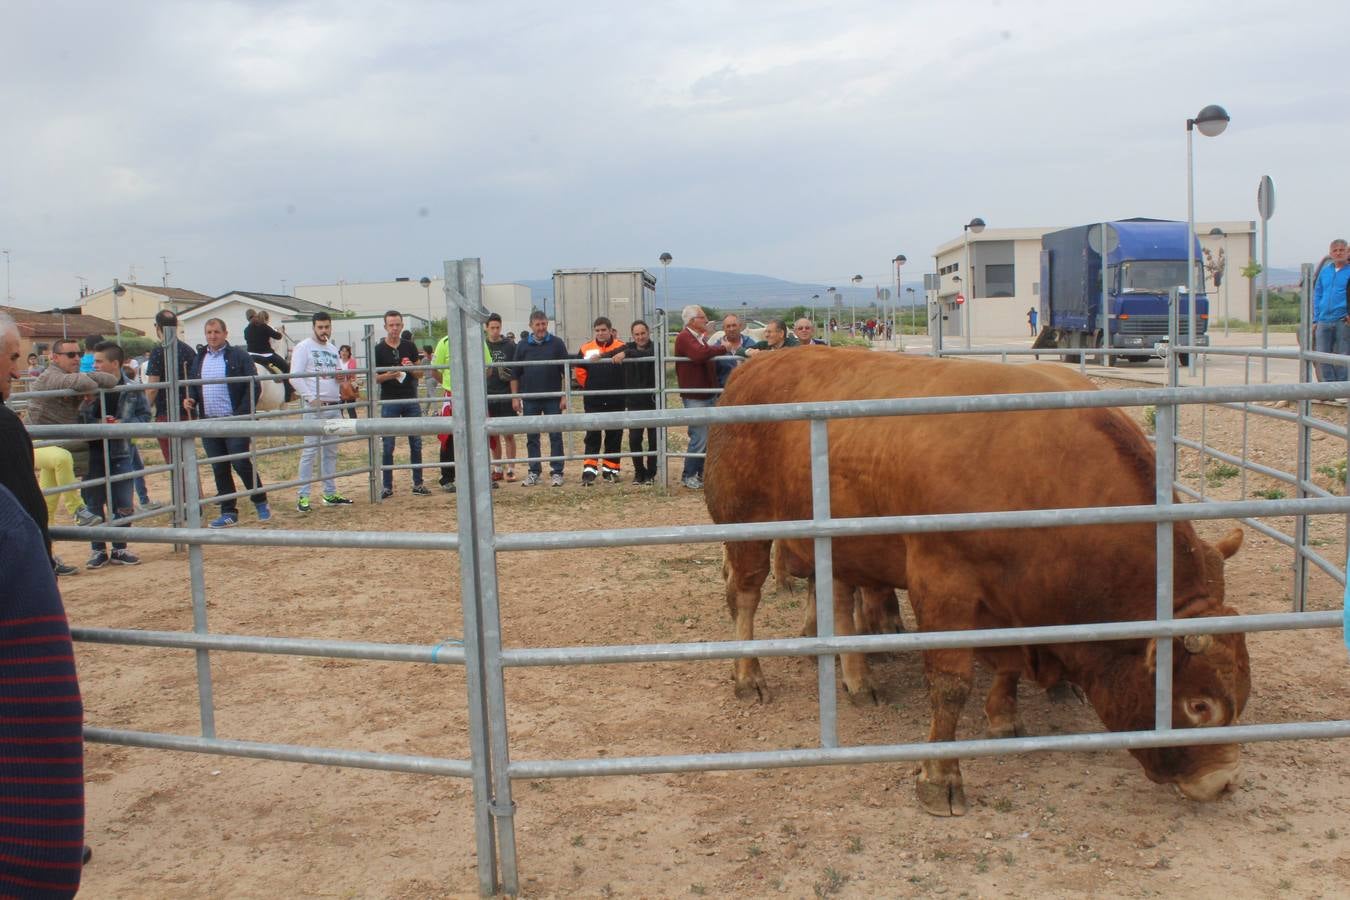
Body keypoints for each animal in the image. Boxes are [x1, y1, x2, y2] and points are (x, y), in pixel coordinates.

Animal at [712, 350, 1247, 814]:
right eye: (1199, 704)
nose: (1220, 783)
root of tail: (755, 364)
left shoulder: (1010, 602)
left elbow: (1006, 665)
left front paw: (1004, 717)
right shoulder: (942, 585)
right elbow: (951, 685)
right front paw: (941, 775)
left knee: (835, 597)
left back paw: (857, 676)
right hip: (746, 520)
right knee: (745, 595)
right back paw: (749, 675)